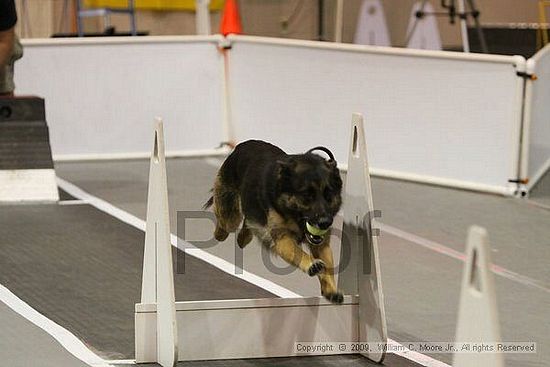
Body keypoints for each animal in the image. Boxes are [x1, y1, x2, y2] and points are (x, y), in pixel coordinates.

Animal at [206, 139, 344, 304]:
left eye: (328, 195)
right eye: (306, 196)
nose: (325, 223)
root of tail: (241, 145)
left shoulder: (321, 243)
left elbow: (328, 268)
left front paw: (331, 290)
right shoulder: (283, 240)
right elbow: (300, 254)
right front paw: (312, 264)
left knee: (247, 226)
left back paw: (243, 236)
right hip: (230, 217)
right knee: (224, 225)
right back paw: (220, 233)